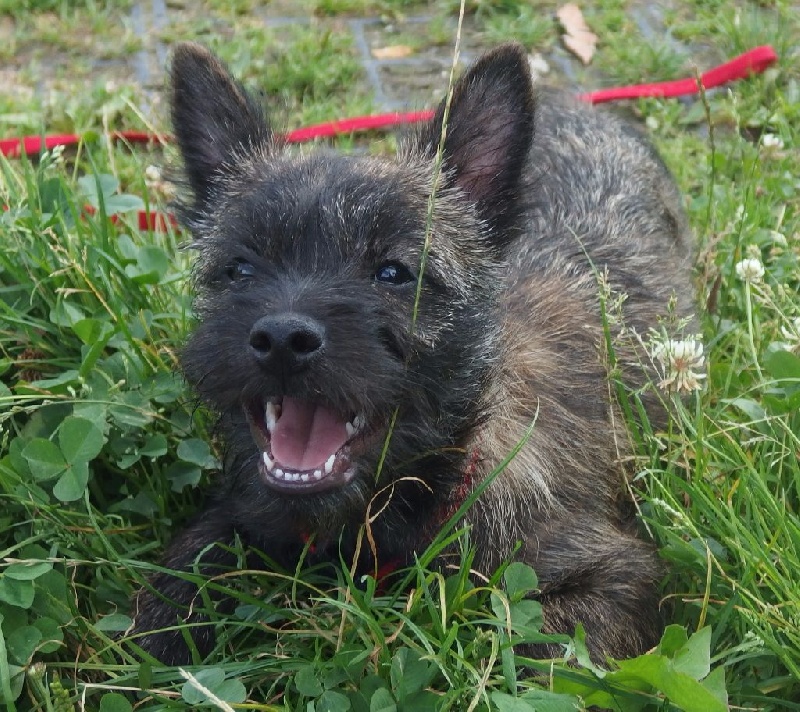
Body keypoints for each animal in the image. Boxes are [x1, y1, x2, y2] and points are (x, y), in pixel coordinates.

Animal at [129, 41, 694, 666]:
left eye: (395, 272)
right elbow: (187, 570)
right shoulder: (243, 514)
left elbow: (541, 655)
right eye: (240, 268)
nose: (281, 340)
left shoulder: (614, 579)